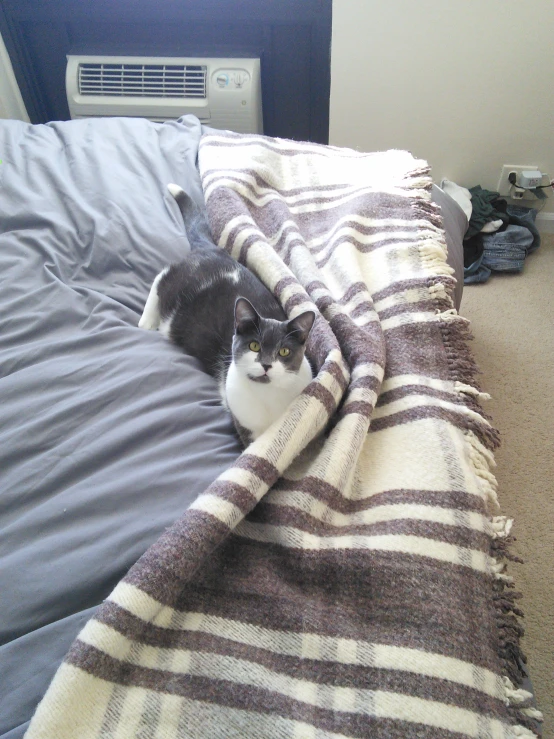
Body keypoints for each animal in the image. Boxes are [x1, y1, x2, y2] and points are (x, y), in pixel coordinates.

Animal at [137, 185, 314, 446]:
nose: (266, 364)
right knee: (163, 276)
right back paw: (147, 320)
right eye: (254, 346)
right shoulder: (244, 424)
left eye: (284, 351)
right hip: (176, 300)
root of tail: (212, 250)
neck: (267, 396)